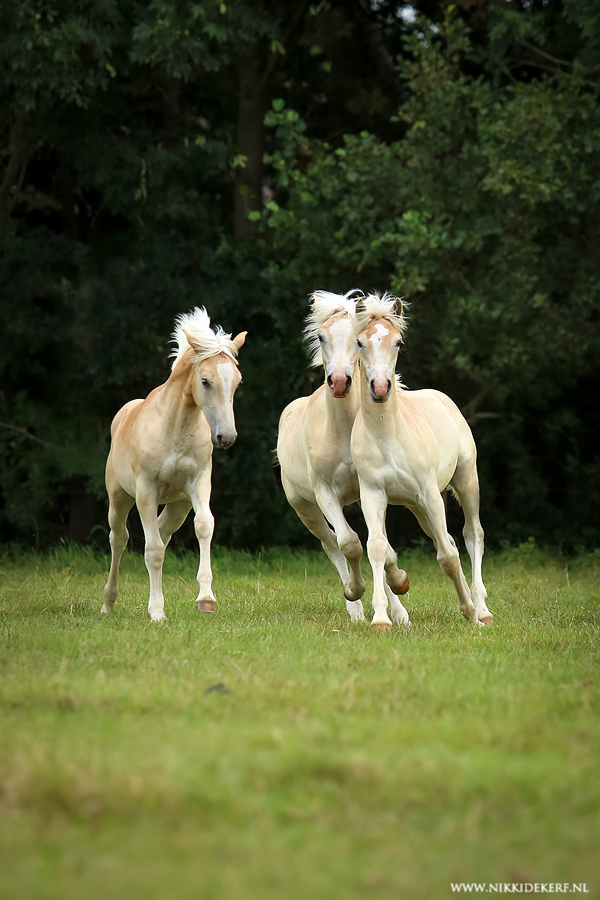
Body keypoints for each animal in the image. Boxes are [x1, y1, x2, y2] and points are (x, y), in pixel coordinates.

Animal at [103, 308, 246, 620]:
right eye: (205, 381)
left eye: (237, 381)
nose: (226, 437)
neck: (175, 428)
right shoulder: (146, 492)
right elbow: (153, 550)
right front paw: (157, 611)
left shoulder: (198, 483)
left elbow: (204, 526)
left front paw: (206, 598)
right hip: (119, 499)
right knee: (119, 539)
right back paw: (108, 603)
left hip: (178, 505)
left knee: (161, 532)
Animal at [278, 292, 410, 624]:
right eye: (320, 336)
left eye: (356, 338)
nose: (339, 381)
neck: (344, 430)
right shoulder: (325, 492)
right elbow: (349, 543)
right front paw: (355, 591)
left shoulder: (370, 492)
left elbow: (383, 547)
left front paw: (399, 594)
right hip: (305, 508)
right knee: (331, 544)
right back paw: (355, 607)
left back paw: (398, 611)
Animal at [352, 296, 492, 632]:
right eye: (360, 342)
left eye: (398, 342)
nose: (379, 388)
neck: (387, 436)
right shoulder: (373, 494)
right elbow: (377, 547)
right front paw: (380, 619)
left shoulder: (429, 494)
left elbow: (448, 557)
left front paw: (470, 613)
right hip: (417, 507)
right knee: (451, 539)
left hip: (464, 482)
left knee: (471, 535)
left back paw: (482, 610)